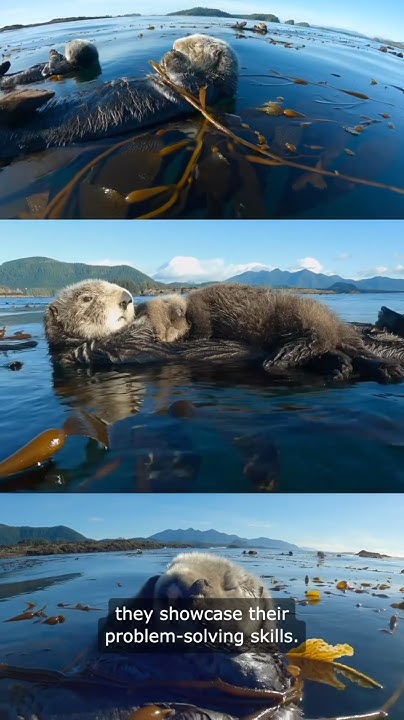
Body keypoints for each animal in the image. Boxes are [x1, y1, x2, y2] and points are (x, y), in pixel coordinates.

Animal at [0, 34, 238, 160]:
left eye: (195, 44)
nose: (175, 44)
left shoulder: (202, 89)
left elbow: (184, 82)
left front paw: (171, 57)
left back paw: (40, 92)